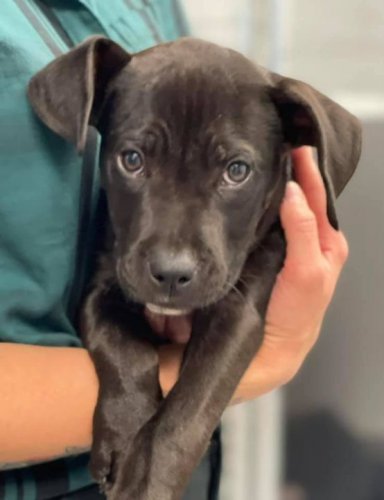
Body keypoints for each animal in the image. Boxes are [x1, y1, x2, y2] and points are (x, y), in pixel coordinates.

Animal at [28, 37, 362, 498]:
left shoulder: (238, 310)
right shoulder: (102, 287)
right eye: (132, 160)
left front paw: (146, 481)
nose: (171, 273)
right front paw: (124, 435)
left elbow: (188, 409)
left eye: (236, 170)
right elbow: (125, 349)